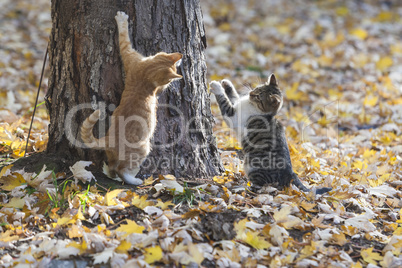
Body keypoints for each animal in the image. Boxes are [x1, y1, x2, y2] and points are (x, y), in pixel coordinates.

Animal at [79, 11, 182, 185]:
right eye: (167, 82)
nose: (168, 86)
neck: (146, 73)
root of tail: (109, 139)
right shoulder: (129, 54)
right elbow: (124, 36)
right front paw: (122, 19)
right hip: (143, 148)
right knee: (122, 170)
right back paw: (134, 180)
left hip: (115, 156)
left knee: (113, 168)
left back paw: (111, 174)